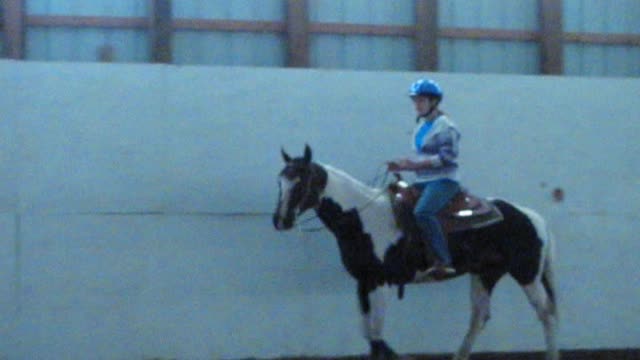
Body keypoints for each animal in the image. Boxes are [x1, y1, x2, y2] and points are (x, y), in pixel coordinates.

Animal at [272, 146, 556, 360]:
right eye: (280, 180)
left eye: (300, 182)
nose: (280, 220)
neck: (362, 218)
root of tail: (532, 216)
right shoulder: (363, 282)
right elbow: (369, 335)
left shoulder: (380, 282)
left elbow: (376, 335)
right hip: (485, 274)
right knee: (479, 318)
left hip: (527, 274)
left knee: (546, 313)